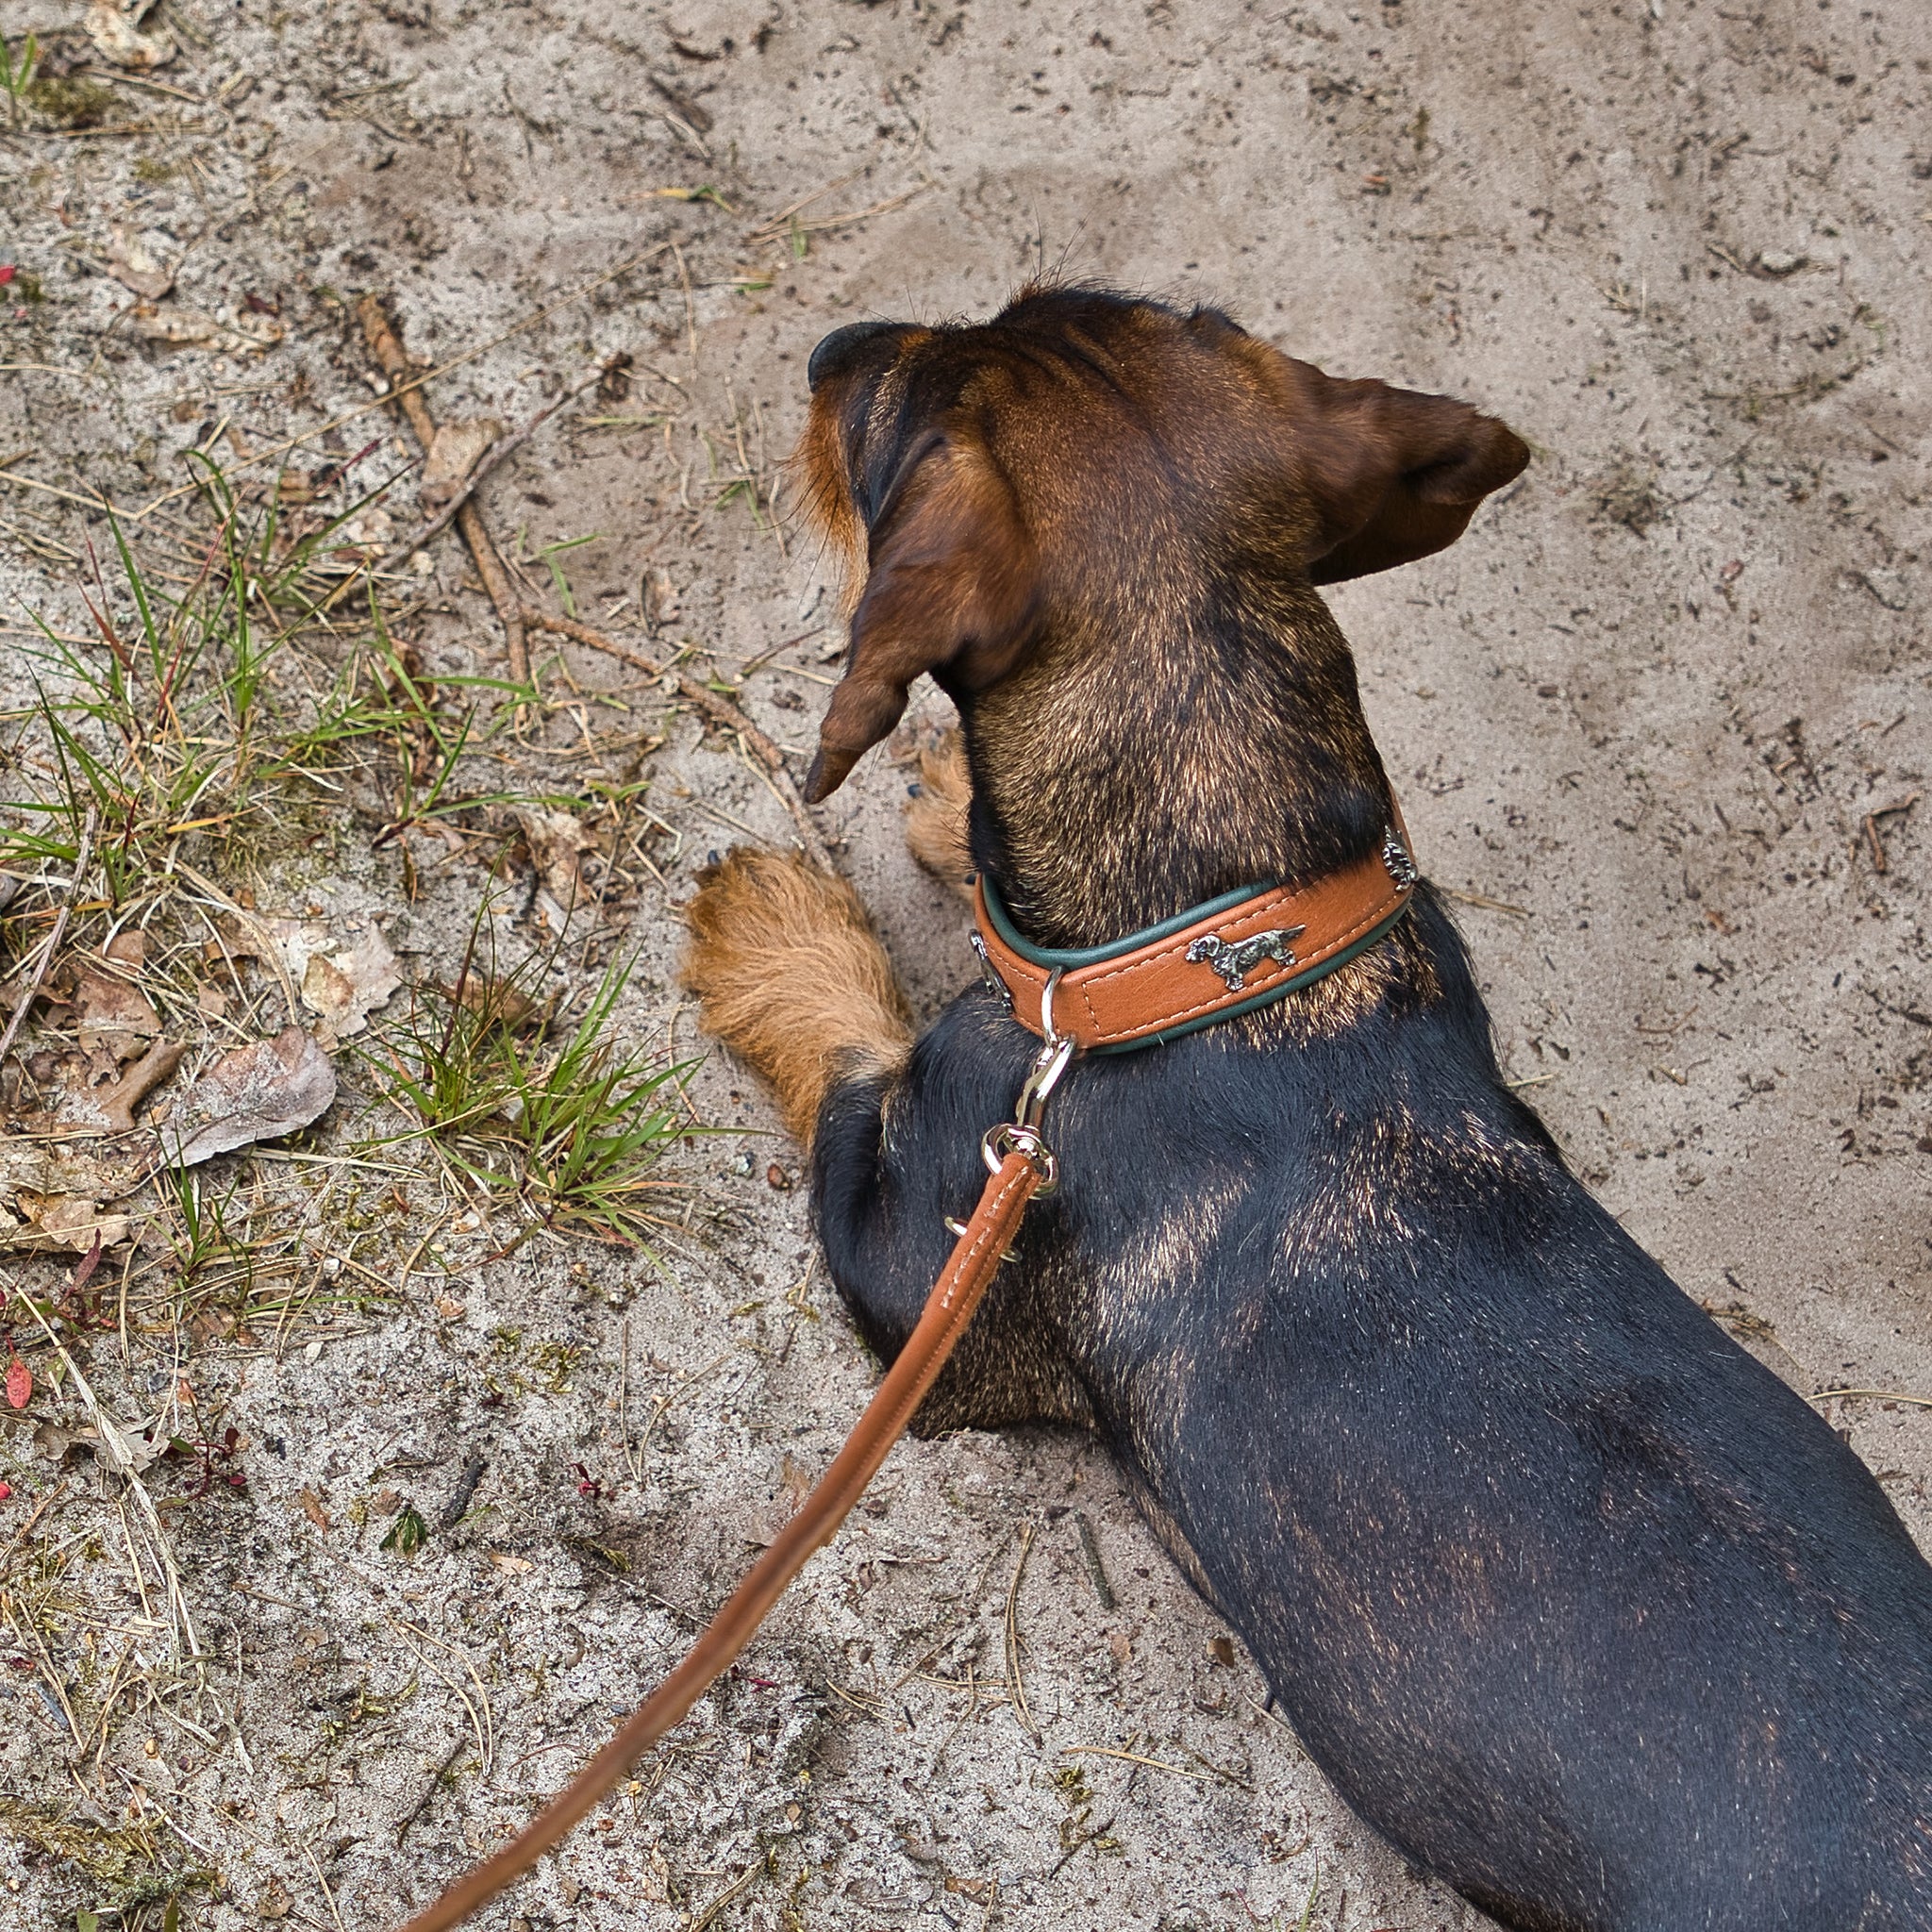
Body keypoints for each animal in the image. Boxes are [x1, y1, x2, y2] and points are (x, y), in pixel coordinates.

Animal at [679, 290, 1932, 1932]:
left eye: (884, 418)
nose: (832, 345)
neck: (1231, 932)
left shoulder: (912, 1273)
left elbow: (848, 1036)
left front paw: (766, 923)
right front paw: (949, 806)